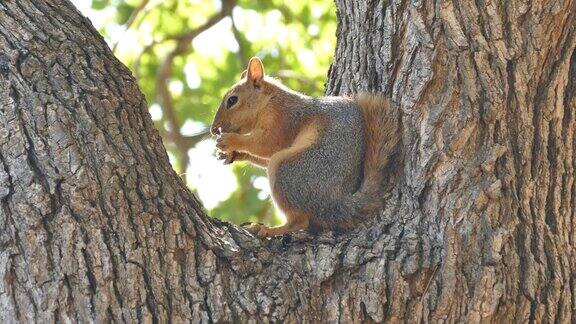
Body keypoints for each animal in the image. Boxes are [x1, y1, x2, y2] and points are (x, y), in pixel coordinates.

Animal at [209, 56, 398, 238]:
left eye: (232, 100)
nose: (213, 129)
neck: (269, 101)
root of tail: (333, 202)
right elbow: (262, 156)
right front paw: (232, 155)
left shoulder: (283, 121)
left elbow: (266, 145)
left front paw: (230, 141)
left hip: (288, 170)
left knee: (299, 221)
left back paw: (268, 230)